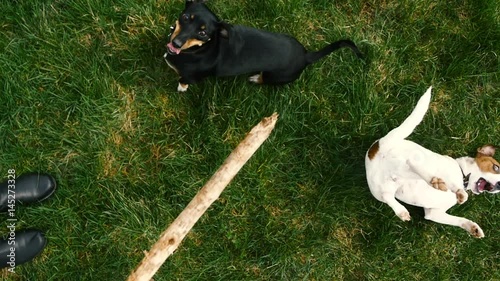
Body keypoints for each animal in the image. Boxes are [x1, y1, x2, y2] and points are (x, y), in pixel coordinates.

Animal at [164, 0, 364, 91]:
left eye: (203, 33)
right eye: (185, 17)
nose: (176, 43)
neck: (199, 49)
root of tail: (306, 55)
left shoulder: (191, 77)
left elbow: (183, 80)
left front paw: (181, 88)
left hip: (275, 77)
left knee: (265, 79)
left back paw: (255, 78)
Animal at [364, 85, 500, 236]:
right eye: (496, 167)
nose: (499, 186)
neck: (463, 175)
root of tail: (379, 145)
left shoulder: (433, 213)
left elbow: (458, 220)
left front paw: (472, 227)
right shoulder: (446, 172)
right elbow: (454, 185)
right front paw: (460, 193)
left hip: (381, 189)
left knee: (388, 195)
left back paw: (401, 210)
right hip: (414, 160)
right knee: (413, 164)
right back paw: (434, 181)